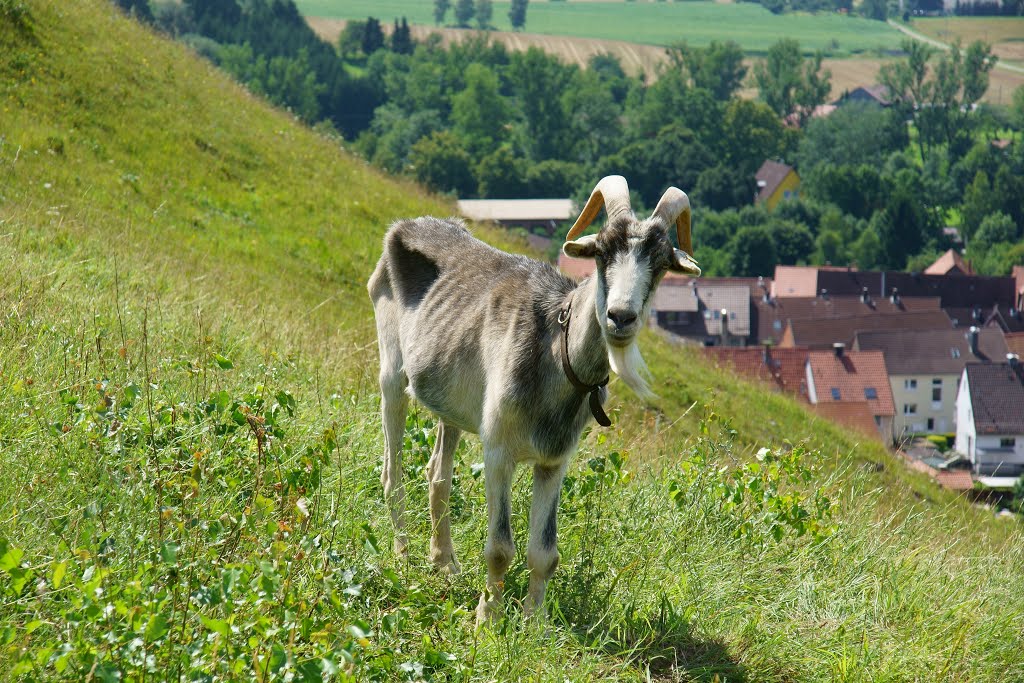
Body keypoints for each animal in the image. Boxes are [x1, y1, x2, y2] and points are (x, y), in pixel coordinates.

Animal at [364, 176, 700, 626]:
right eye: (601, 252)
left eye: (661, 263)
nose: (621, 317)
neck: (555, 351)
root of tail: (404, 227)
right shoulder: (498, 449)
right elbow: (500, 547)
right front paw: (487, 619)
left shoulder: (555, 461)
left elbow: (545, 552)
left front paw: (534, 623)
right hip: (392, 369)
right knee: (392, 471)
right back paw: (403, 554)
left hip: (449, 402)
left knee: (438, 474)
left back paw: (445, 562)